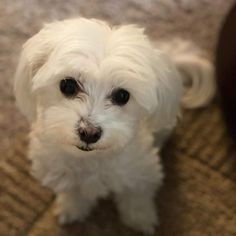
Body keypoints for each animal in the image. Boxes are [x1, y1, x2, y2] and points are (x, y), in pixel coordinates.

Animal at [13, 18, 215, 234]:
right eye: (67, 85)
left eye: (122, 95)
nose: (89, 133)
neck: (92, 159)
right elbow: (72, 192)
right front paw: (71, 209)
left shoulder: (140, 173)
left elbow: (136, 197)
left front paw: (141, 220)